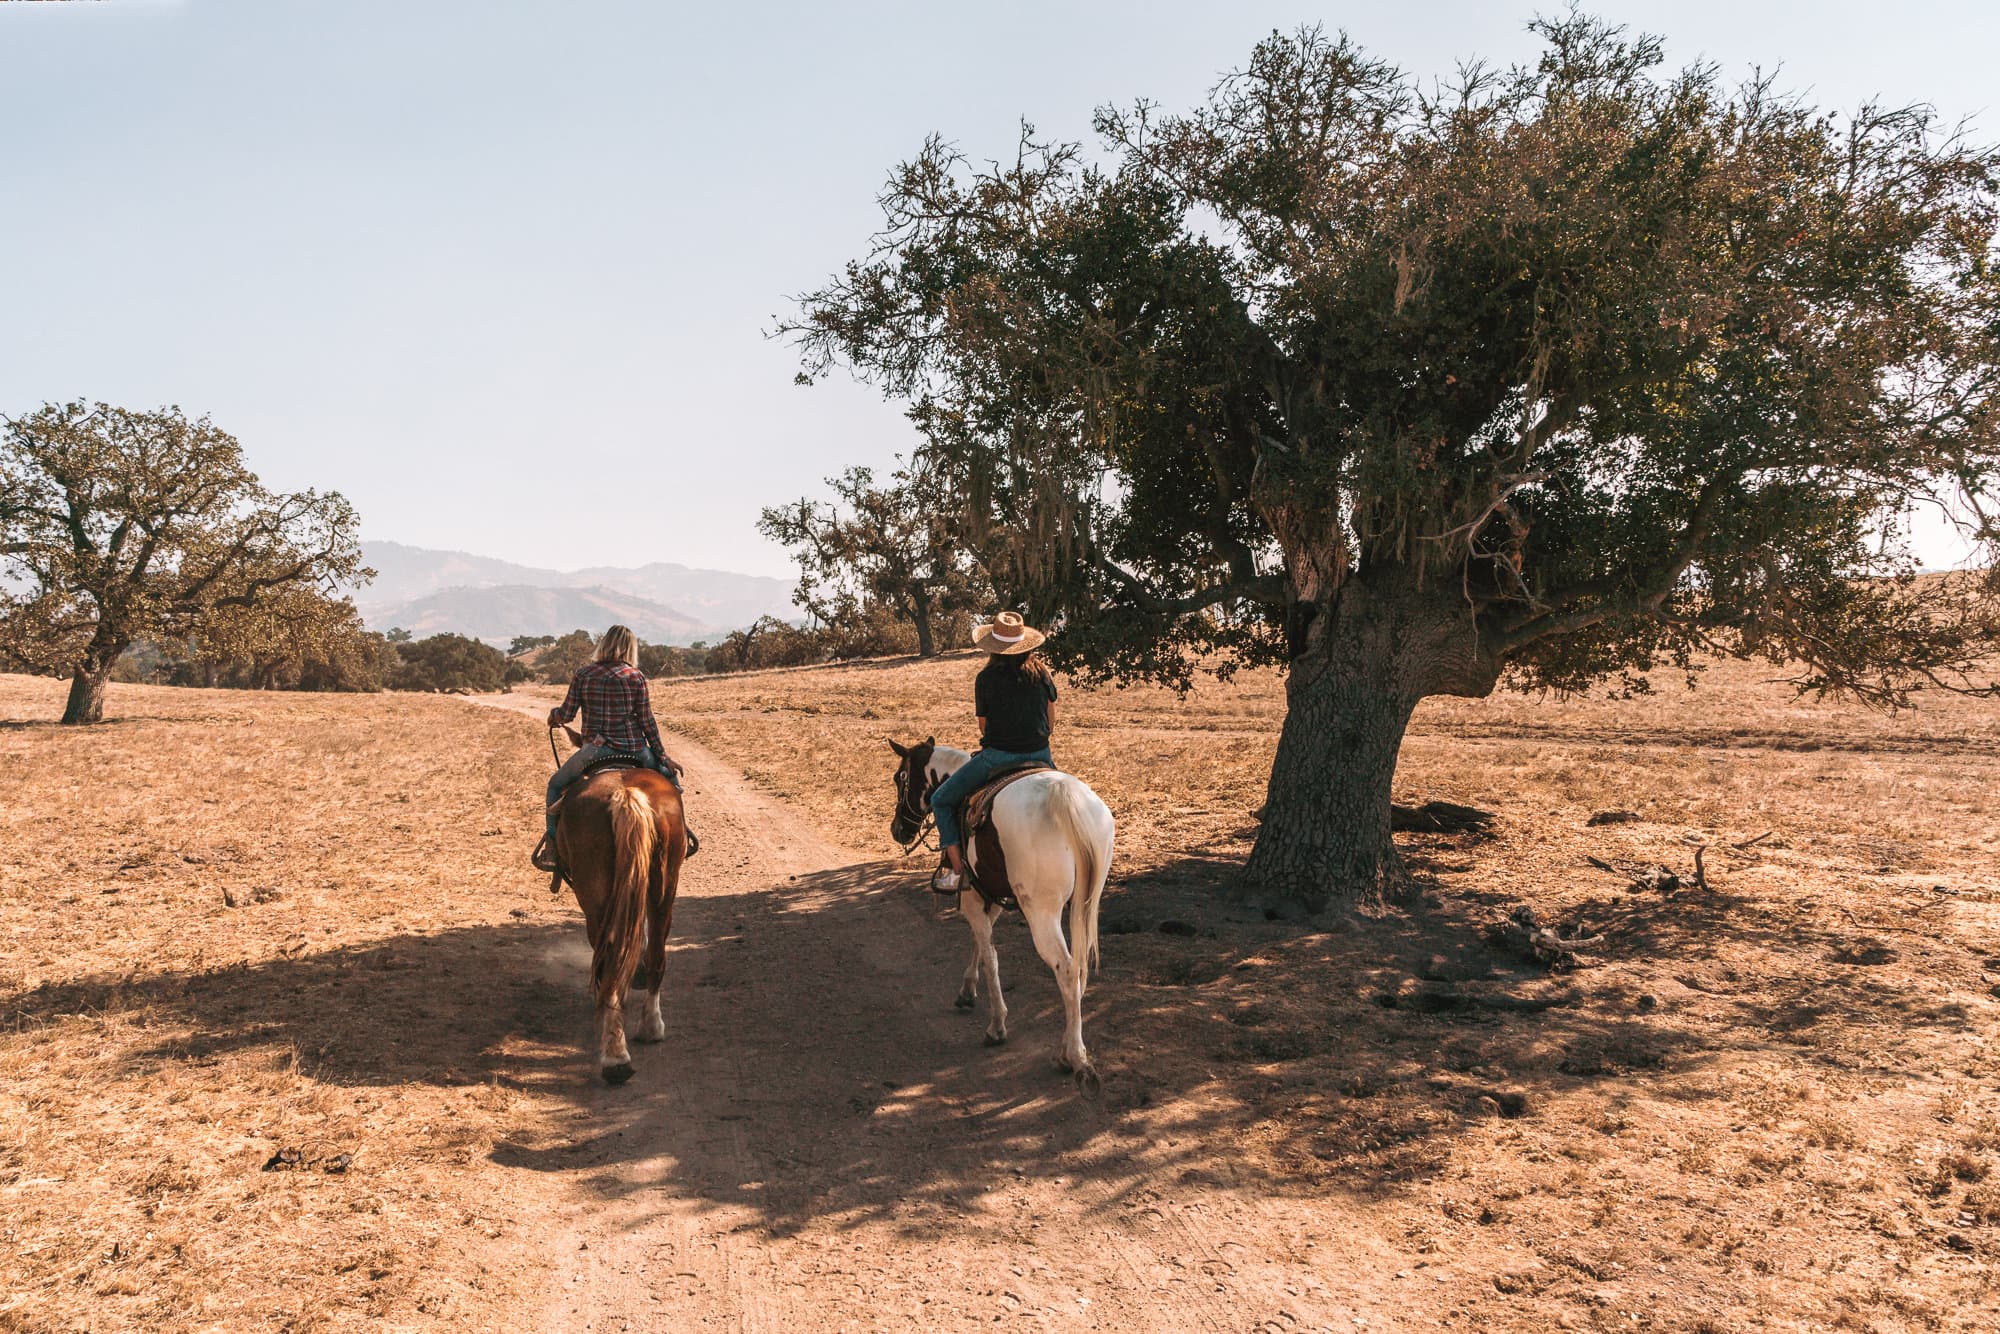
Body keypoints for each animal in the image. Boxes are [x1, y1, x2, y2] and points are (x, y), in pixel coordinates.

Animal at [888, 736, 1112, 1088]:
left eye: (900, 778)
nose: (898, 830)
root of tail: (1065, 800)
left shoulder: (972, 896)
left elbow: (990, 954)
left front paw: (996, 1026)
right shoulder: (990, 894)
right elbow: (980, 944)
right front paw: (967, 991)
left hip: (1042, 912)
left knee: (1065, 969)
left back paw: (1075, 1058)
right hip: (1084, 903)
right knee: (1079, 968)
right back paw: (1068, 1049)